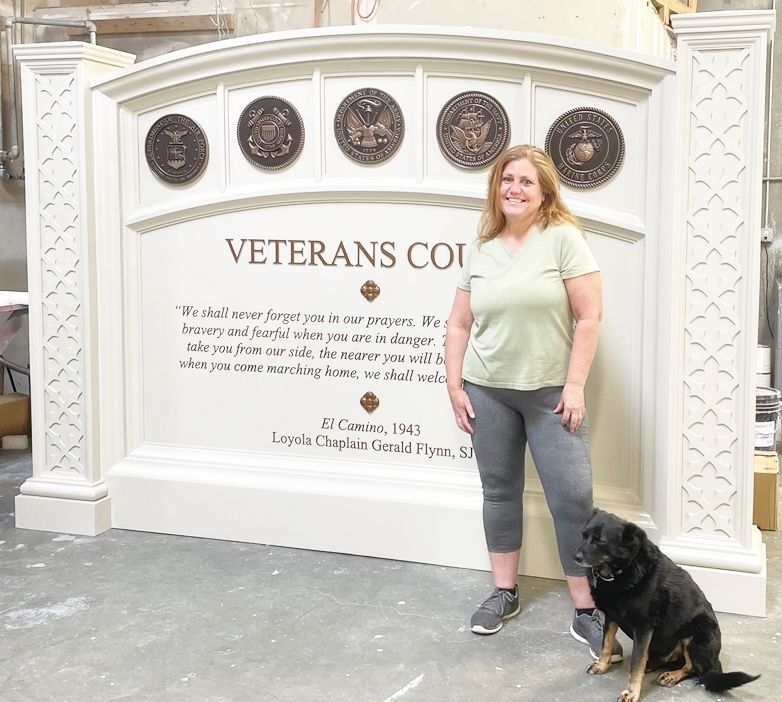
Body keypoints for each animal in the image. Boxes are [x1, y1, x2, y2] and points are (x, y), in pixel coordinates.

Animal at [576, 512, 760, 702]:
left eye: (600, 540)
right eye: (584, 535)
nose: (576, 557)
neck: (622, 570)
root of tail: (715, 663)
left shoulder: (643, 627)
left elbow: (636, 662)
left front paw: (632, 692)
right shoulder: (612, 616)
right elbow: (606, 645)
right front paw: (602, 665)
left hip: (697, 630)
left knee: (693, 668)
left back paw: (671, 675)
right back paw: (653, 665)